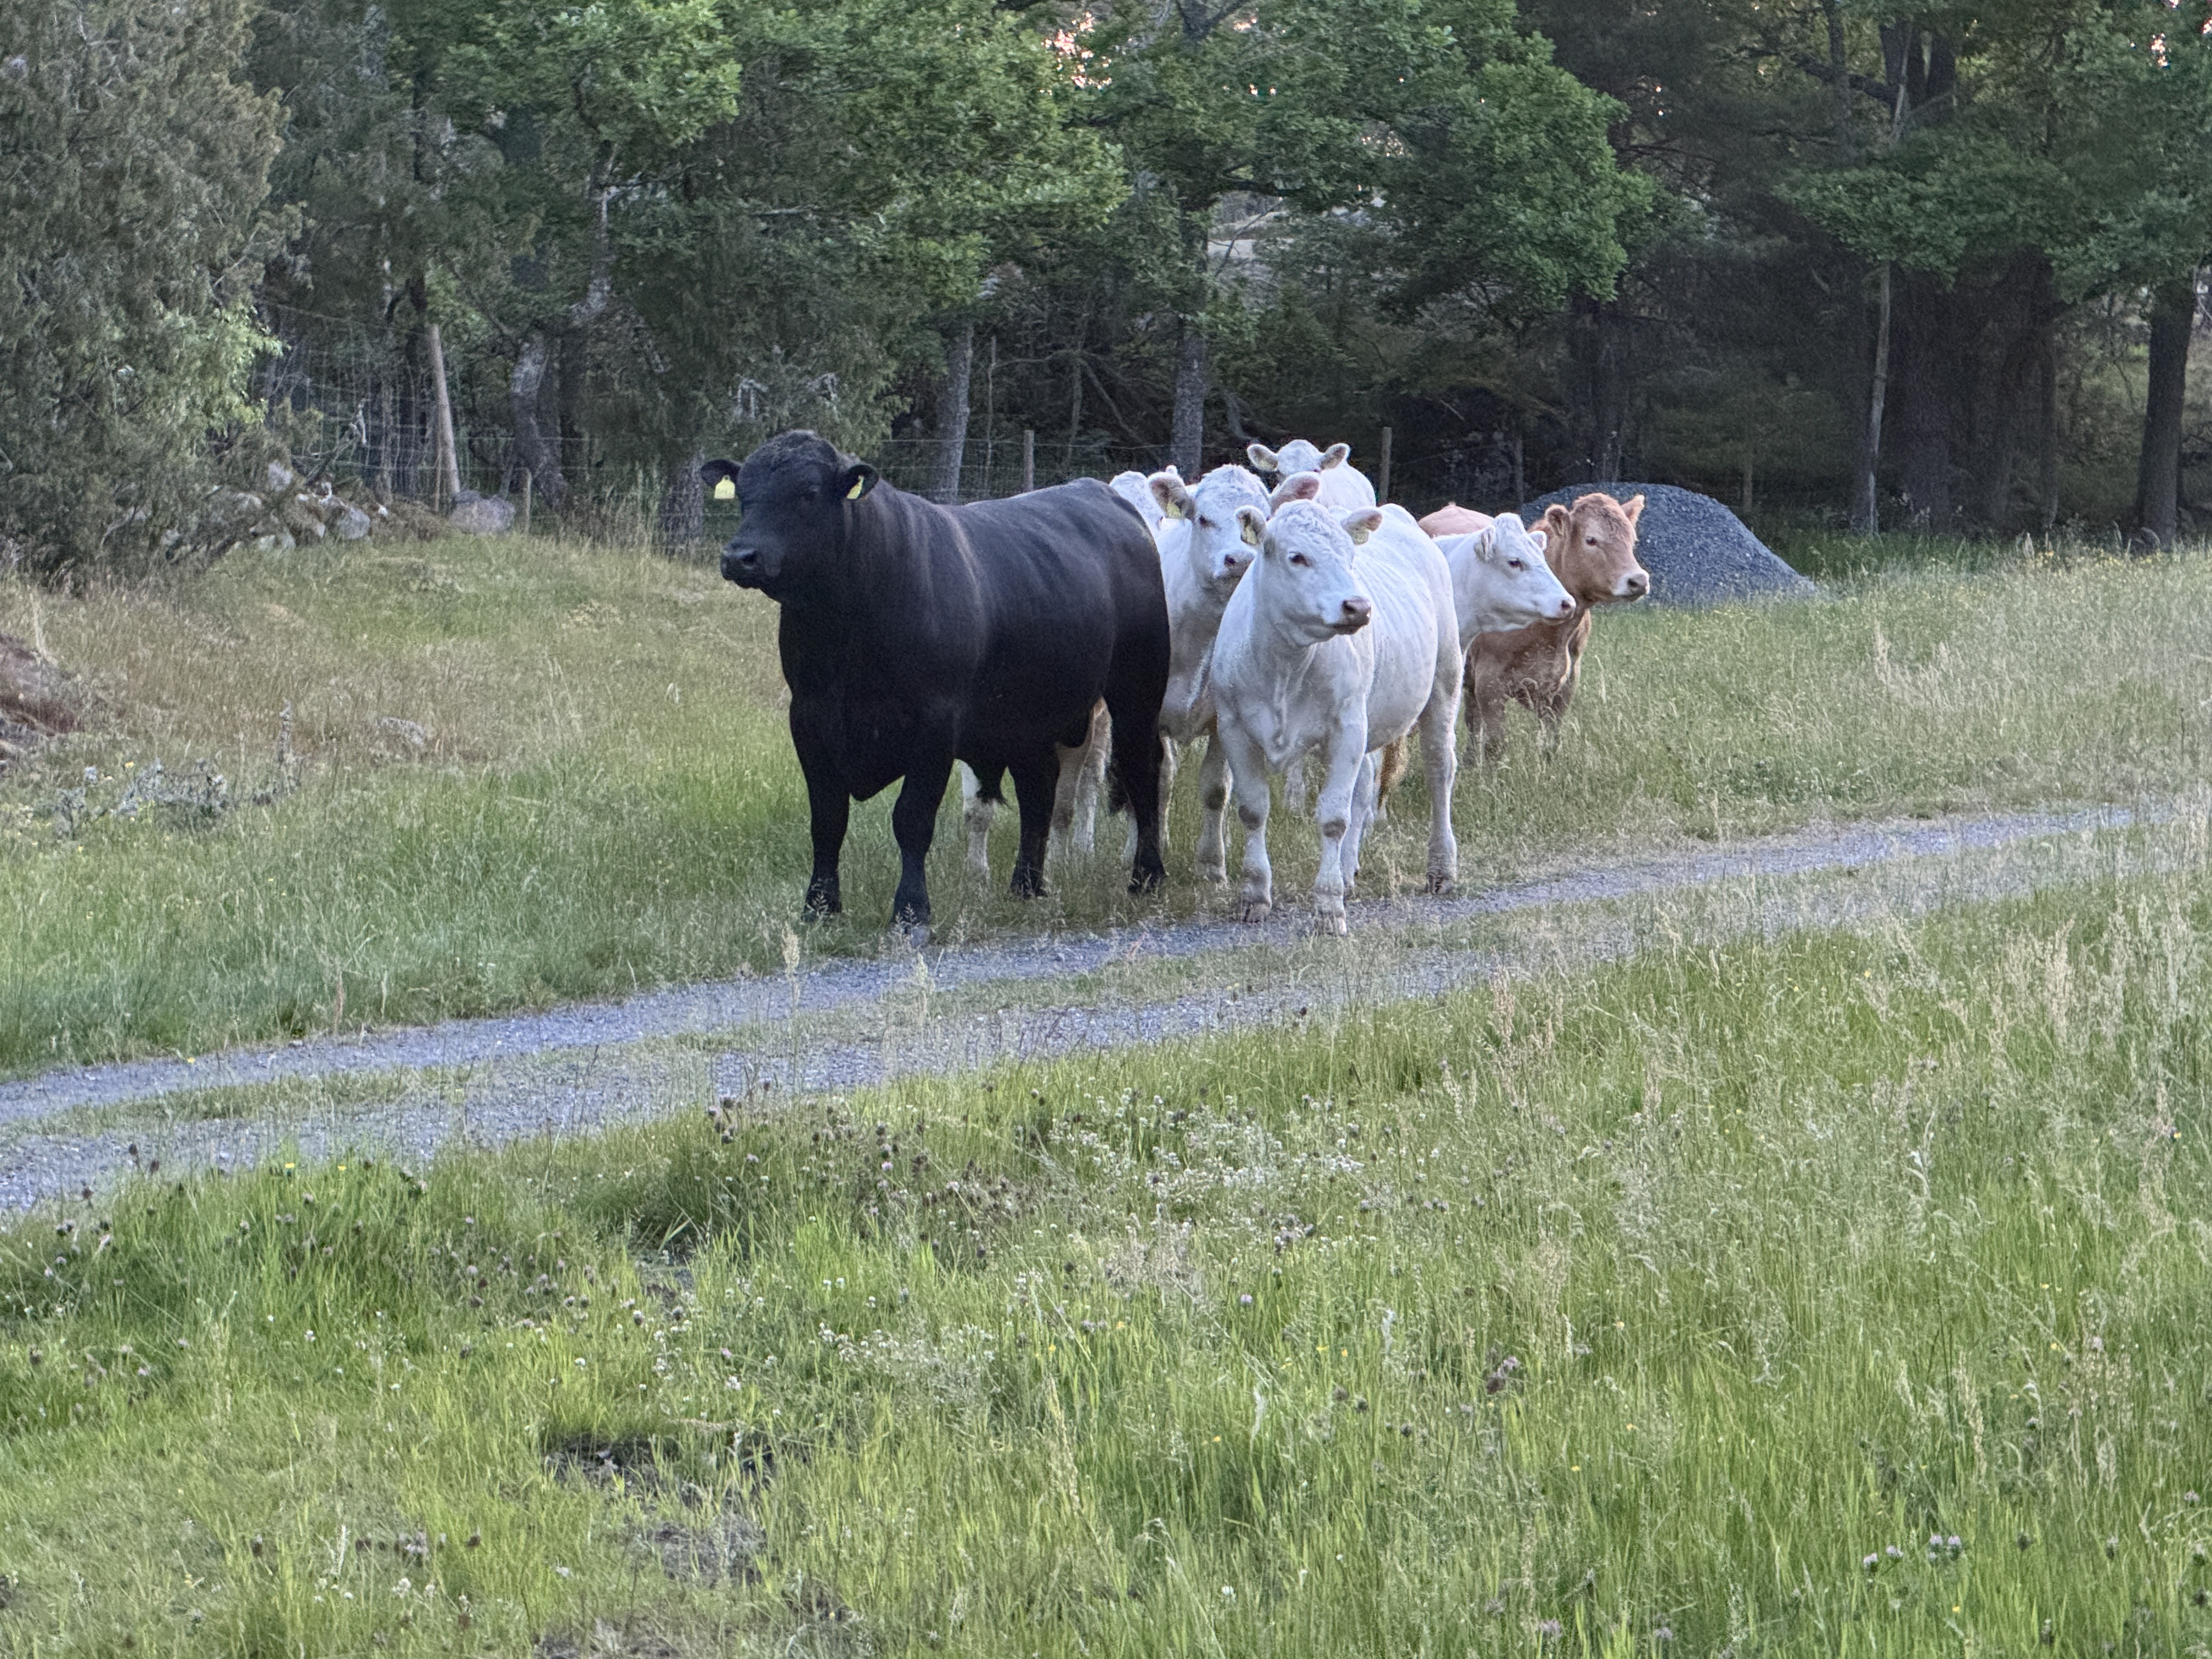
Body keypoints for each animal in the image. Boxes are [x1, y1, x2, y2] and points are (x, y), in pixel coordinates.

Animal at [706, 432, 1169, 932]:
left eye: (808, 493)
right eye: (743, 494)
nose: (739, 557)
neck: (846, 629)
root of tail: (1105, 496)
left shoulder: (934, 724)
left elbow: (911, 818)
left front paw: (911, 909)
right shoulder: (809, 717)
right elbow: (827, 818)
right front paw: (819, 906)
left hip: (1137, 689)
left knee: (1144, 769)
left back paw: (1147, 875)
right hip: (1026, 712)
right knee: (1038, 786)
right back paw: (1026, 885)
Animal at [1209, 499, 1461, 935]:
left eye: (1349, 557)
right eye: (1297, 557)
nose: (1358, 606)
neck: (1284, 667)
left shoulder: (1347, 727)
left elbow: (1333, 818)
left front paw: (1329, 906)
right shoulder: (1234, 728)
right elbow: (1253, 810)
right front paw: (1255, 895)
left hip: (1444, 680)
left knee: (1439, 769)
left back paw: (1441, 867)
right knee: (1364, 788)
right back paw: (1347, 871)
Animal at [1464, 491, 1647, 762]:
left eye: (1632, 540)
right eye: (1591, 540)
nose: (1639, 581)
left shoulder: (1566, 684)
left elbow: (1551, 741)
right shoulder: (1490, 683)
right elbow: (1495, 746)